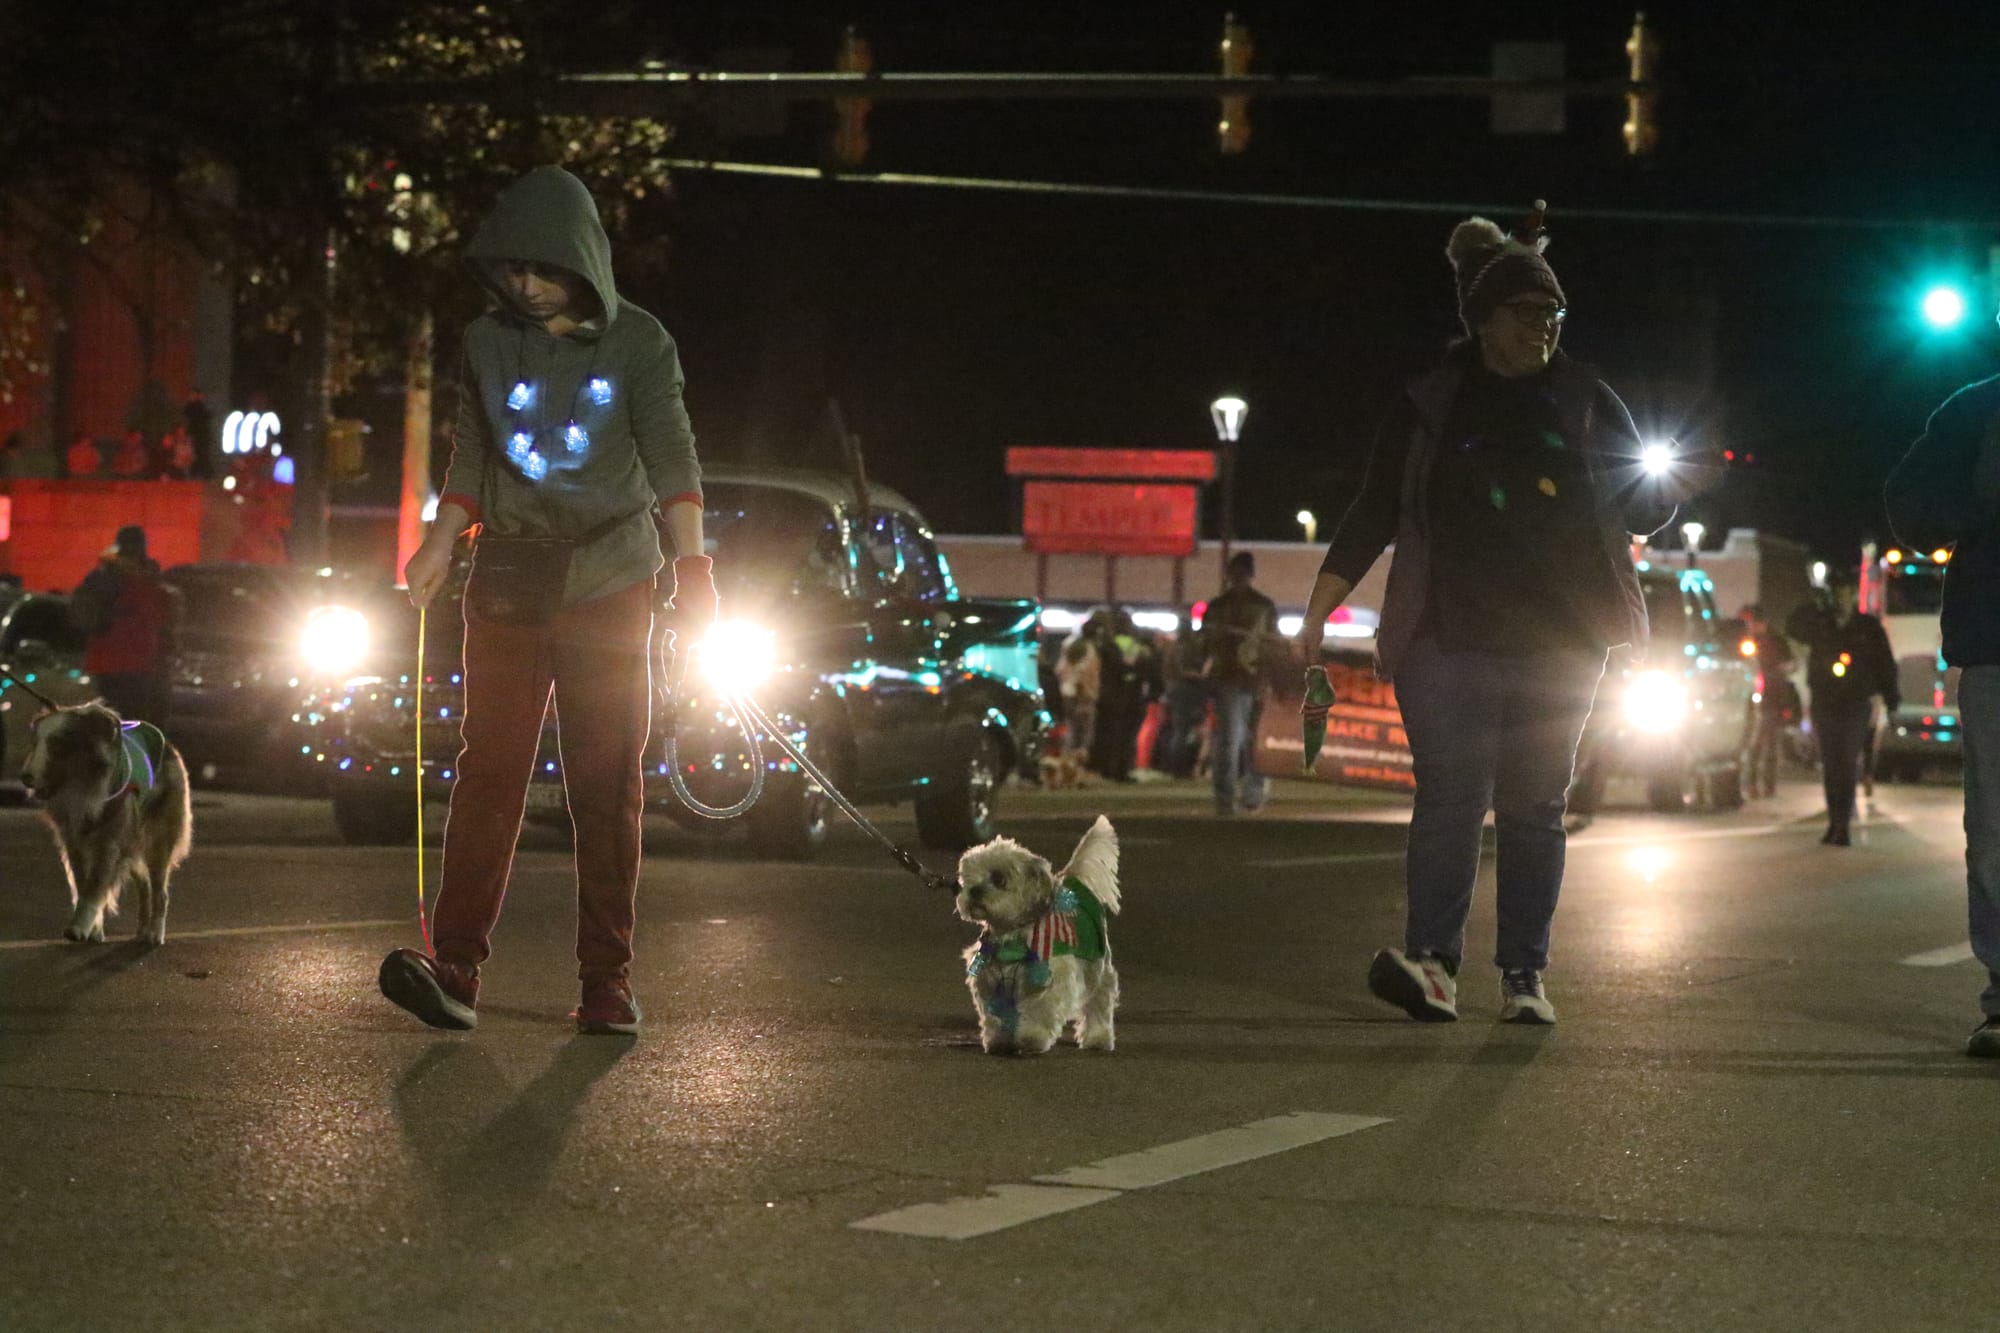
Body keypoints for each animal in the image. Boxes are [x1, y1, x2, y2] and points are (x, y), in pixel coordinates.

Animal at [21, 703, 192, 946]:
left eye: (57, 744)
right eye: (35, 743)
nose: (25, 777)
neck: (81, 787)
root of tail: (169, 746)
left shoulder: (109, 843)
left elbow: (95, 886)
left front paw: (79, 927)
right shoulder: (74, 843)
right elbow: (84, 884)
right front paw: (94, 929)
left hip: (156, 838)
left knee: (160, 891)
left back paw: (155, 933)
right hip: (132, 842)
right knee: (145, 886)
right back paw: (143, 928)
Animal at [955, 815, 1120, 1055]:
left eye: (999, 878)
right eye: (966, 879)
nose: (974, 890)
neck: (1011, 935)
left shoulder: (1049, 980)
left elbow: (1039, 1011)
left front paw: (1031, 1039)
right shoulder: (991, 980)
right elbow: (995, 1016)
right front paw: (1000, 1040)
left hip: (1097, 969)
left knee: (1099, 1002)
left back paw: (1098, 1038)